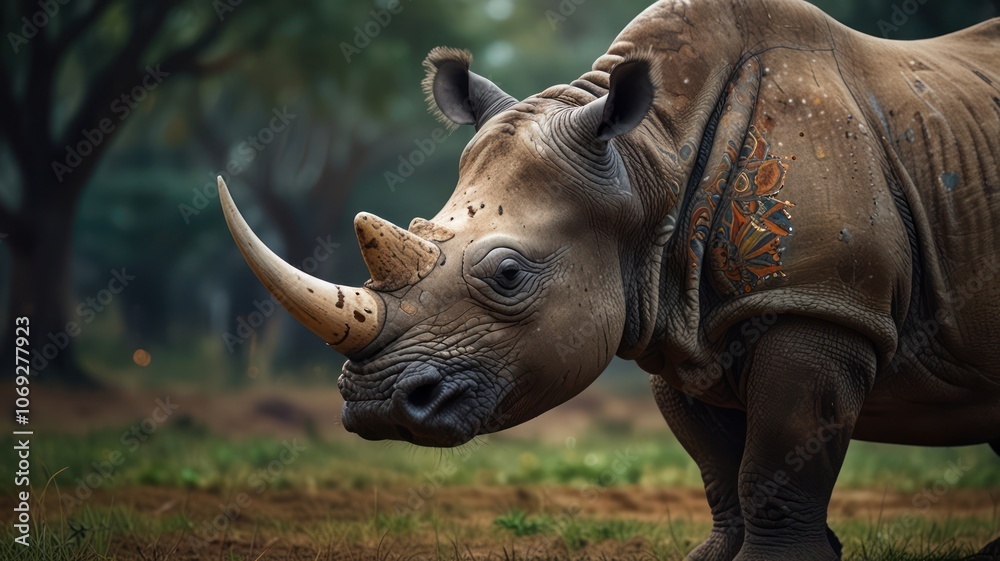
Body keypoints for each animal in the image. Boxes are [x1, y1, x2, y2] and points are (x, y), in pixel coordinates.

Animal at [218, 0, 1000, 558]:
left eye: (508, 274)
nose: (377, 405)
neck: (648, 159)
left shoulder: (821, 302)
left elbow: (777, 463)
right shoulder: (678, 327)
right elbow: (721, 467)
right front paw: (716, 556)